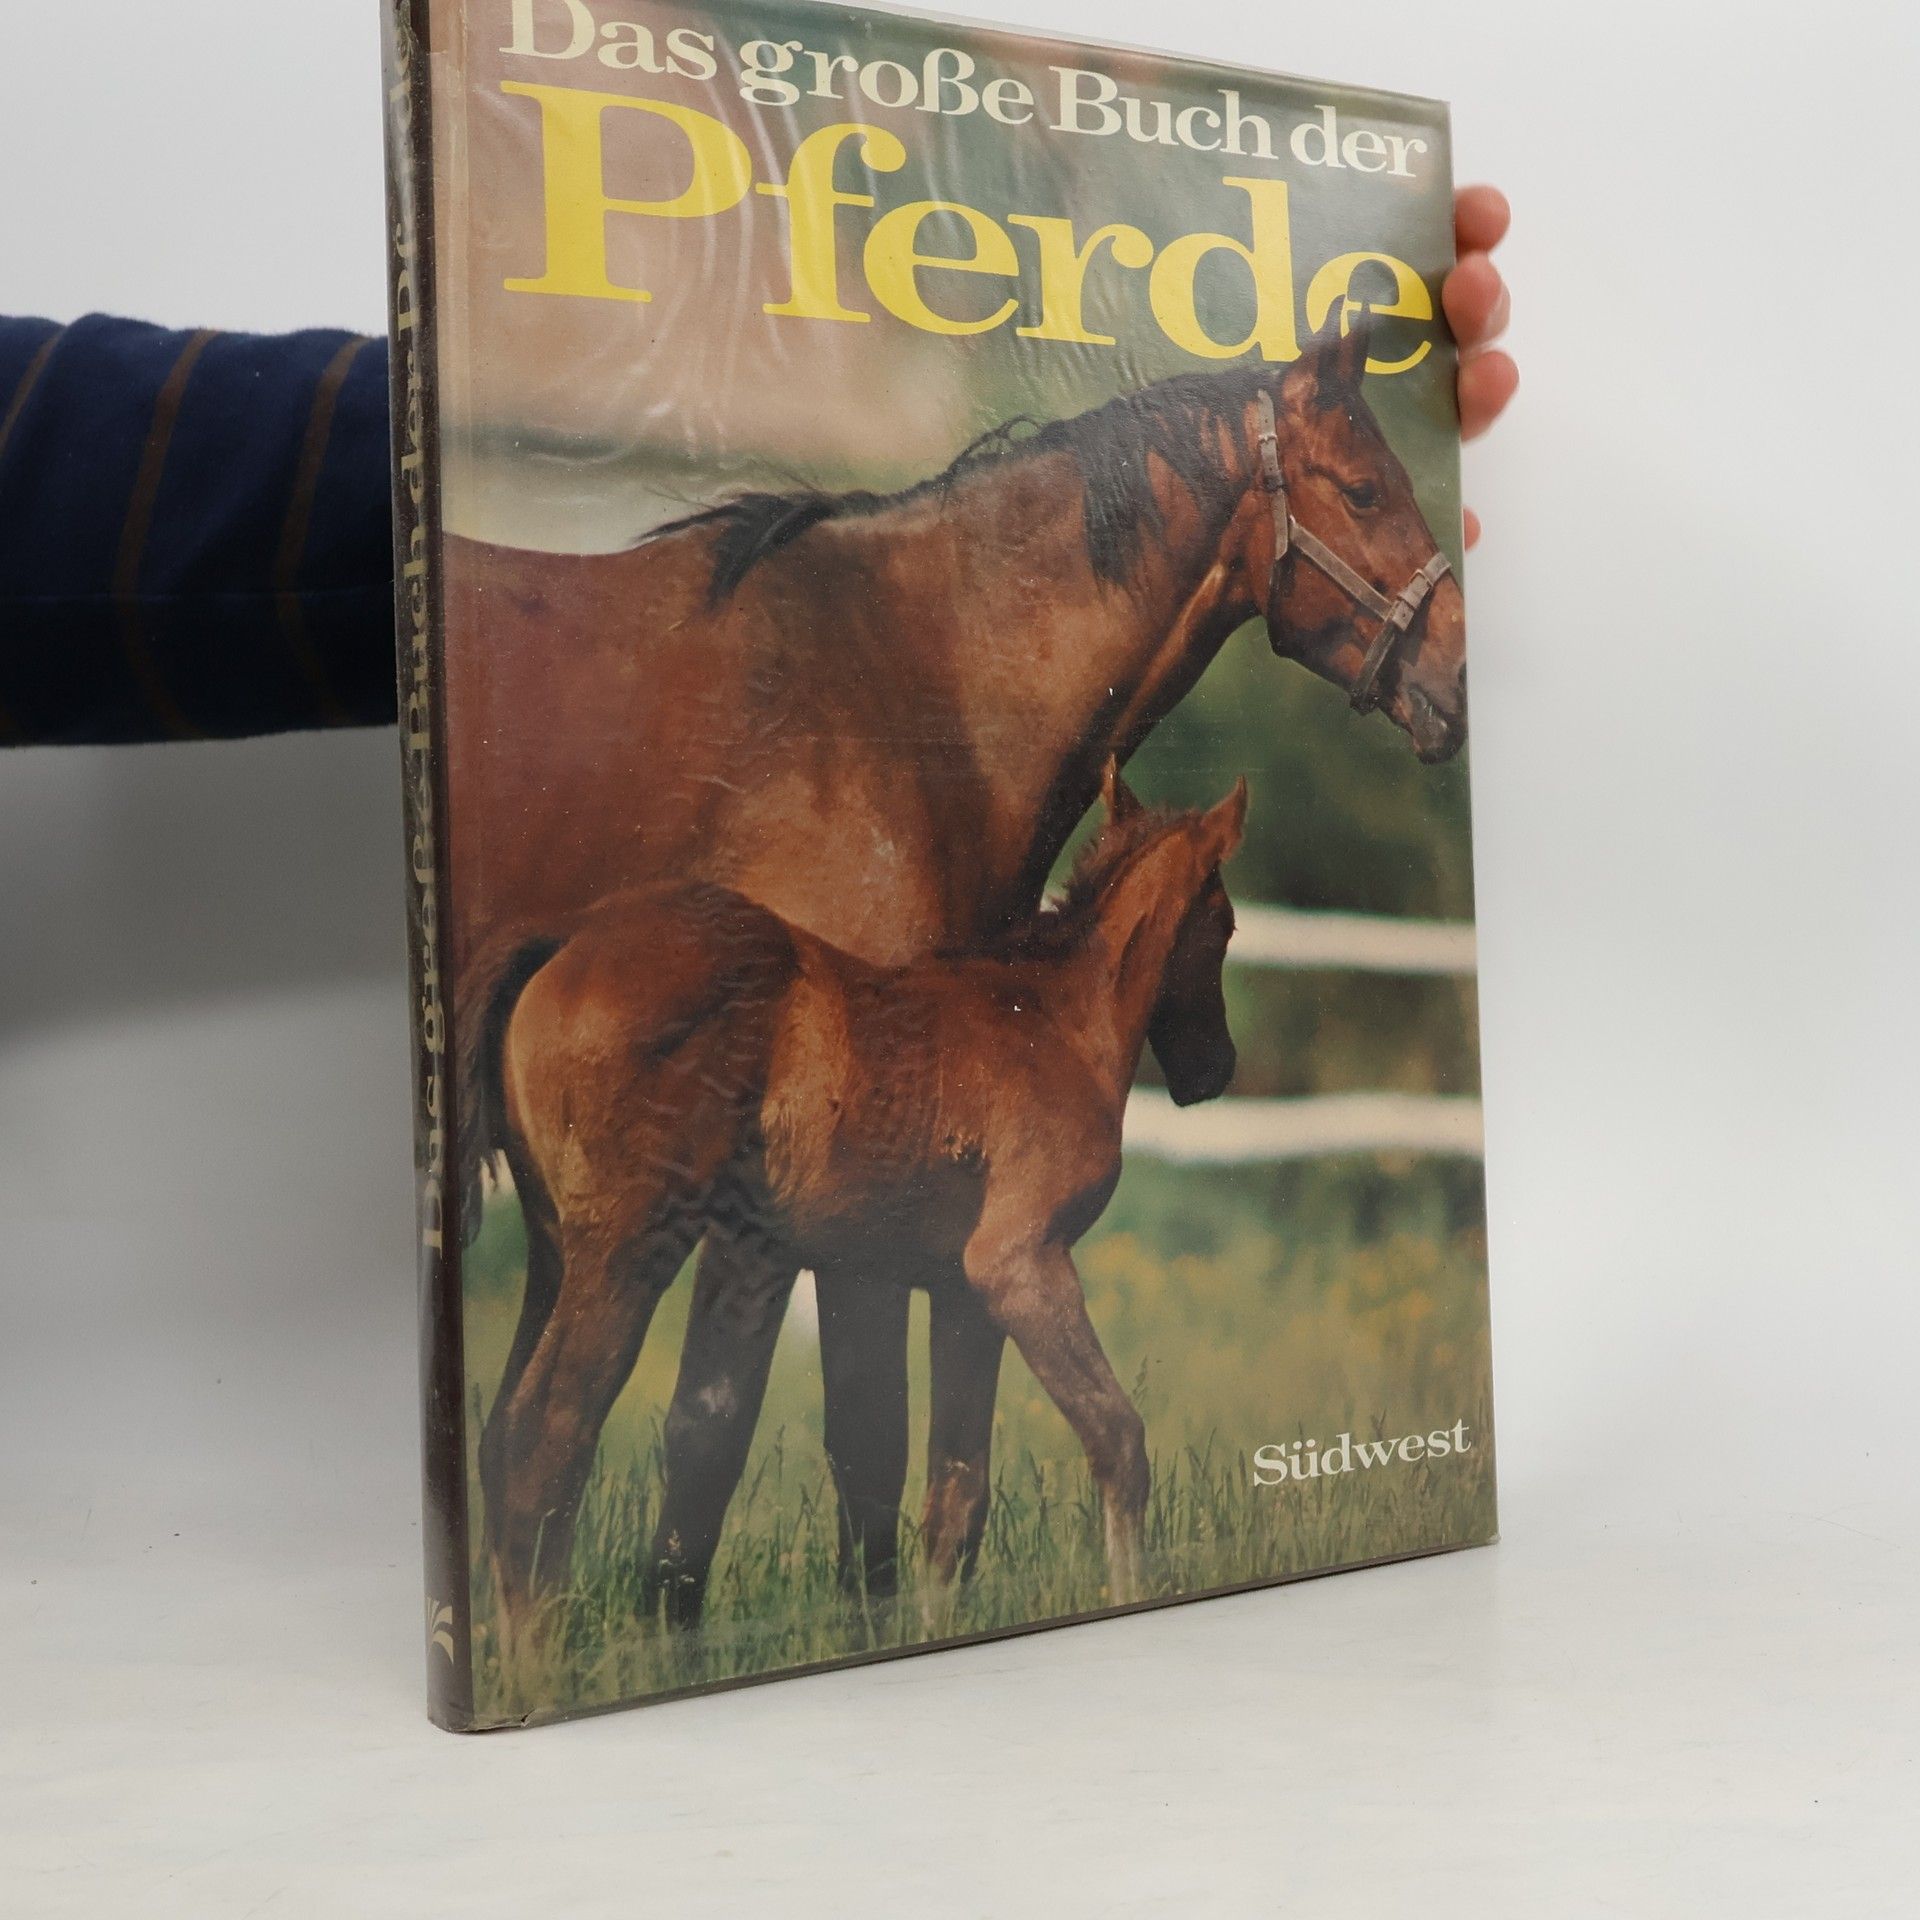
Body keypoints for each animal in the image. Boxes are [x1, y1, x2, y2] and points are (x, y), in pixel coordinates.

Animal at [468, 765, 1246, 1624]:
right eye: (1226, 924)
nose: (1213, 1069)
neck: (1055, 1018)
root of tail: (563, 939)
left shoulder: (962, 1292)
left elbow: (954, 1496)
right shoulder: (1020, 1262)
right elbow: (1118, 1439)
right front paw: (1129, 1590)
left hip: (553, 1248)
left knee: (500, 1437)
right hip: (626, 1250)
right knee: (545, 1434)